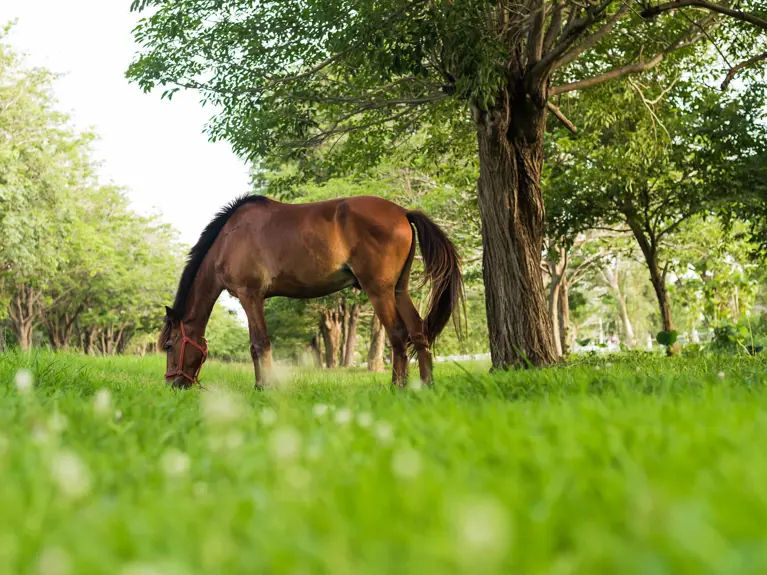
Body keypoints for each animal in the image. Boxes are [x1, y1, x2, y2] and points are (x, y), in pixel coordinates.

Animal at [159, 195, 464, 392]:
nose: (173, 385)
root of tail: (403, 211)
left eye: (170, 346)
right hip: (399, 289)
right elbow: (256, 345)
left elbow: (259, 344)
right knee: (418, 332)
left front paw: (263, 388)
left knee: (398, 335)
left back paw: (397, 387)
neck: (228, 239)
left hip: (379, 290)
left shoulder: (250, 296)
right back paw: (425, 385)